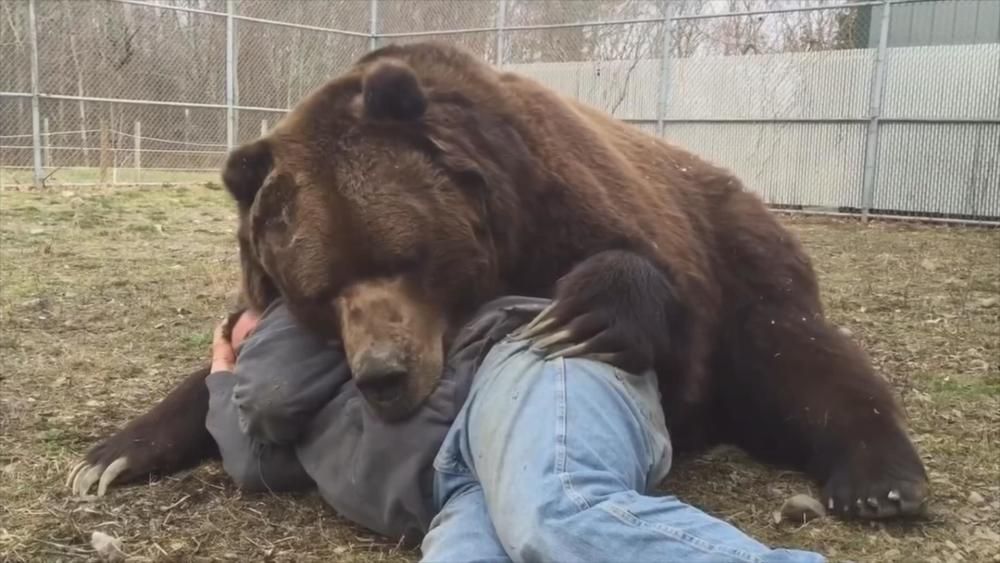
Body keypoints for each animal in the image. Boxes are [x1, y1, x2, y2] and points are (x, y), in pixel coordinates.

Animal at [70, 40, 928, 521]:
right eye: (321, 287)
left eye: (405, 255)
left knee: (801, 356)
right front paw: (106, 456)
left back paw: (881, 479)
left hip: (749, 253)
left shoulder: (578, 207)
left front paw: (585, 312)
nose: (383, 373)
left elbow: (655, 298)